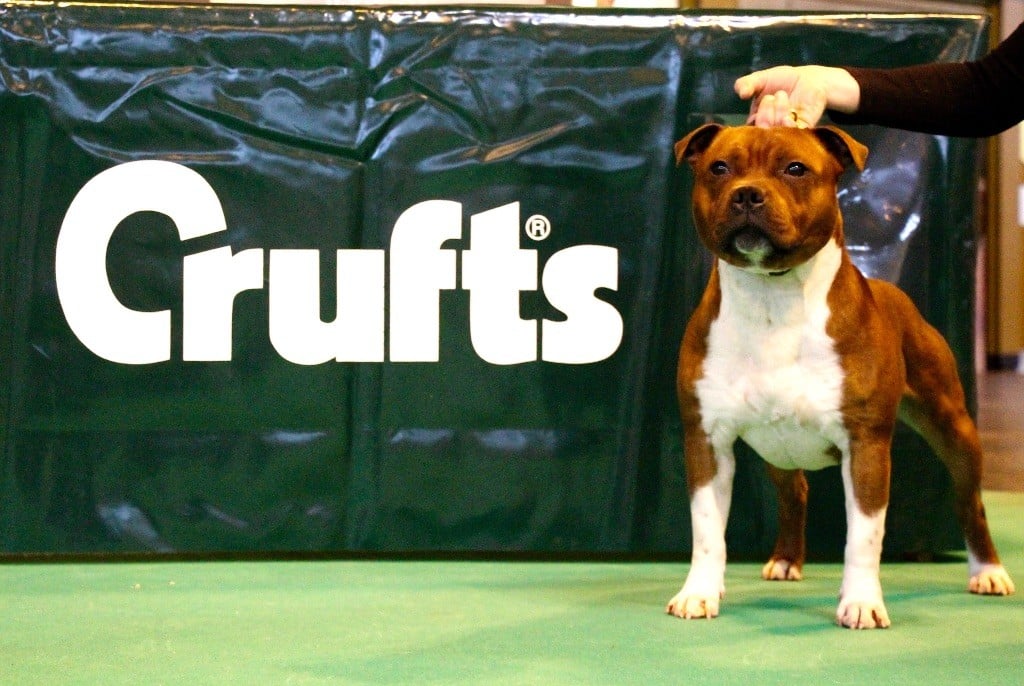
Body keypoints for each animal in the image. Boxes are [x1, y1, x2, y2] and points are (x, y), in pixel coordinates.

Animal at [667, 123, 1011, 630]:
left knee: (972, 502)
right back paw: (786, 560)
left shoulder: (865, 445)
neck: (771, 298)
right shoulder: (706, 440)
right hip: (779, 448)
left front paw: (862, 603)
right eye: (719, 168)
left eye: (796, 169)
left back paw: (987, 571)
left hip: (954, 427)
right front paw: (699, 593)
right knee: (795, 491)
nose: (747, 194)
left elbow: (864, 537)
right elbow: (708, 531)